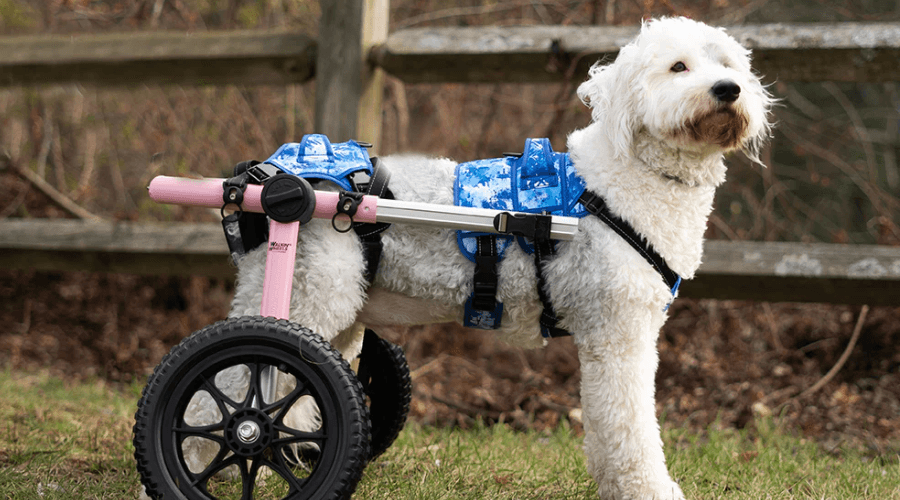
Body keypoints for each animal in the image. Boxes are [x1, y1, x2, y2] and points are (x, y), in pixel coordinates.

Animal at [207, 16, 768, 500]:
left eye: (727, 65)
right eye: (678, 67)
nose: (728, 90)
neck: (623, 181)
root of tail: (267, 181)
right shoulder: (618, 335)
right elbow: (630, 427)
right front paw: (649, 489)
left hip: (335, 312)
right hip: (302, 297)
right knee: (226, 387)